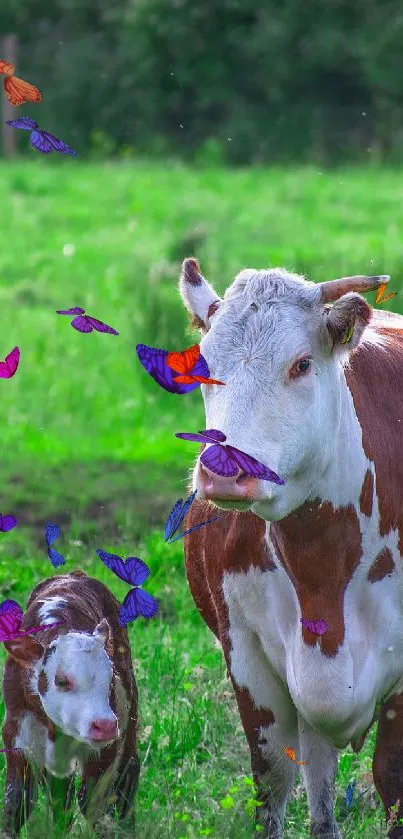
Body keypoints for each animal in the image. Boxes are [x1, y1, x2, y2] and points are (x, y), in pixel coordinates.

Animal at [1, 568, 140, 836]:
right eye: (62, 681)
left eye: (110, 680)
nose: (104, 725)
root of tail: (75, 574)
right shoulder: (17, 738)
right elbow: (18, 803)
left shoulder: (107, 747)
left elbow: (95, 801)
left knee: (128, 771)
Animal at [178, 258, 403, 839]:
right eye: (204, 366)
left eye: (301, 364)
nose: (223, 471)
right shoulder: (247, 656)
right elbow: (273, 780)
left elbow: (393, 781)